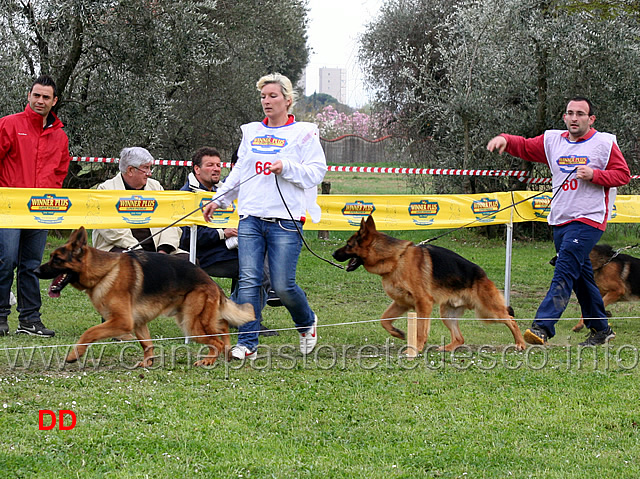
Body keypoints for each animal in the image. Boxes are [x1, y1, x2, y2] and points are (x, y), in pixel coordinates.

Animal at [35, 228, 254, 368]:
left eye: (57, 259)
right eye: (51, 257)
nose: (35, 271)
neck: (104, 271)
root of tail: (211, 282)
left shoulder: (123, 321)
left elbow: (90, 332)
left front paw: (74, 354)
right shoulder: (138, 322)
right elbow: (147, 344)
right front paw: (148, 363)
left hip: (191, 325)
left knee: (216, 341)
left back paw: (210, 360)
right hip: (197, 319)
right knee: (223, 328)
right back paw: (226, 354)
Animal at [330, 218, 524, 352]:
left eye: (348, 245)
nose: (332, 254)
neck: (396, 259)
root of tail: (482, 274)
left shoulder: (423, 303)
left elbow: (420, 331)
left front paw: (415, 349)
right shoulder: (401, 303)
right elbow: (384, 320)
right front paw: (398, 333)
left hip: (488, 311)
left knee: (511, 320)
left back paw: (520, 343)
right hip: (447, 313)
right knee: (460, 338)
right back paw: (447, 348)